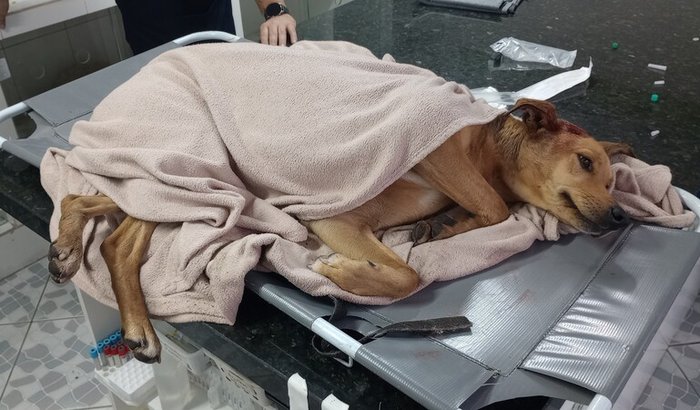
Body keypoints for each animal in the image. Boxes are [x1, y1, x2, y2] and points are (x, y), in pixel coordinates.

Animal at [47, 98, 632, 363]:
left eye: (613, 179)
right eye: (585, 162)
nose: (621, 217)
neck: (488, 151)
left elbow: (462, 223)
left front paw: (442, 224)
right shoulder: (341, 210)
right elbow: (414, 271)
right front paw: (343, 271)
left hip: (186, 185)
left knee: (90, 197)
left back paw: (68, 247)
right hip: (198, 180)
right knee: (118, 239)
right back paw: (136, 327)